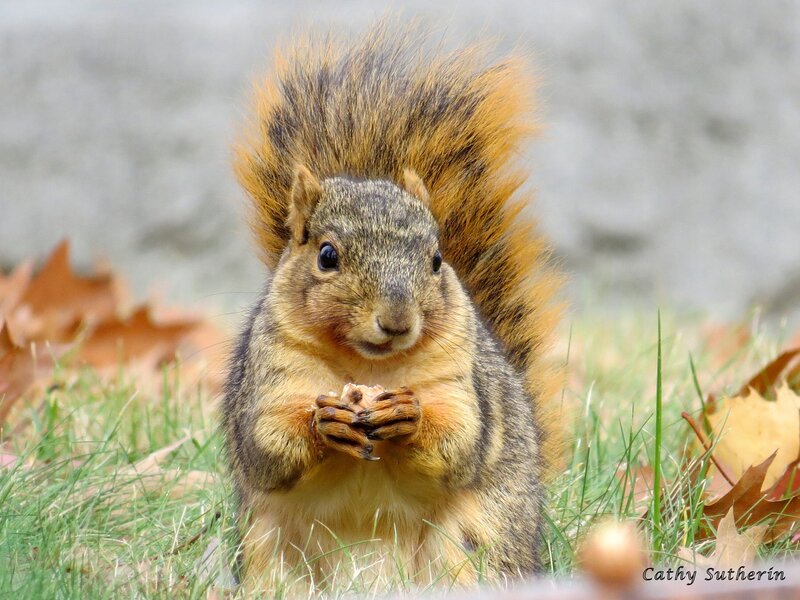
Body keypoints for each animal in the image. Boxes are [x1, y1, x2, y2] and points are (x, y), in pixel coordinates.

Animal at [222, 24, 563, 593]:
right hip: (270, 551)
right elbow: (266, 445)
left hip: (475, 542)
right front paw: (325, 423)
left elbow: (460, 441)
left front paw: (409, 414)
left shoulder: (459, 376)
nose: (398, 321)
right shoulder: (272, 375)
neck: (368, 365)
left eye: (437, 259)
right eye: (327, 256)